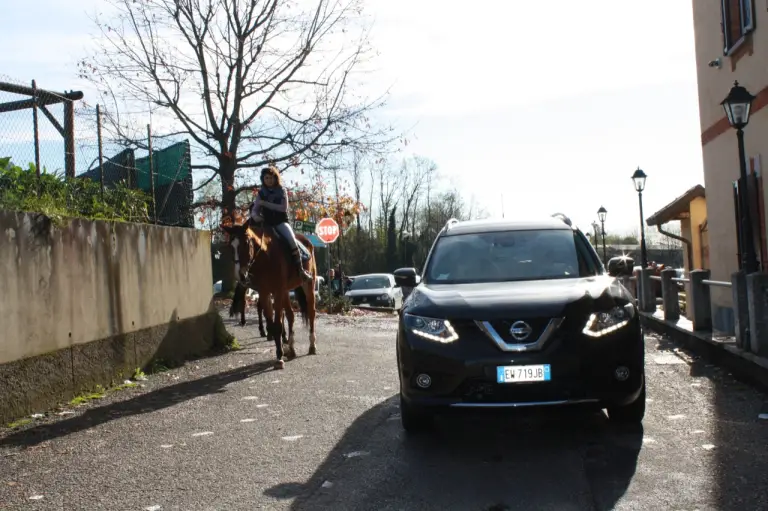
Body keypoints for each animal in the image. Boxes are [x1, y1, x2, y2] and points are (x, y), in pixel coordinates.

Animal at [222, 222, 318, 370]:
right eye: (230, 246)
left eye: (246, 242)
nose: (241, 275)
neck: (265, 257)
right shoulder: (265, 292)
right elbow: (271, 320)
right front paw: (279, 347)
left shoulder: (277, 291)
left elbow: (277, 323)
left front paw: (279, 357)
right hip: (285, 290)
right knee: (290, 315)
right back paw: (291, 348)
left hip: (308, 284)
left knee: (311, 312)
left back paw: (312, 345)